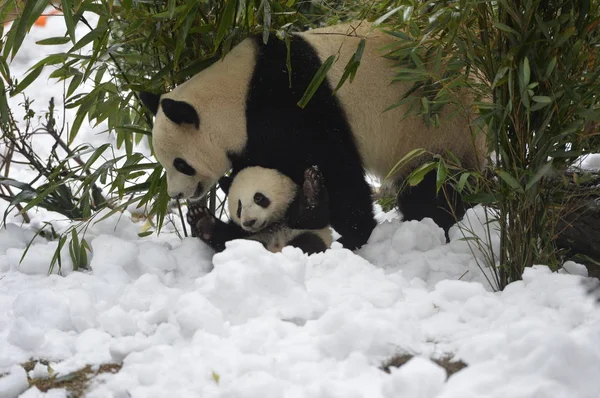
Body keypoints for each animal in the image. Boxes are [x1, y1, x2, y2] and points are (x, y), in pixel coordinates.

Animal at [138, 21, 486, 249]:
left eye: (181, 164)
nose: (176, 195)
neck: (236, 96)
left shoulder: (296, 100)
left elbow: (336, 167)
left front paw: (355, 234)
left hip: (435, 127)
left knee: (434, 186)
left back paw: (437, 223)